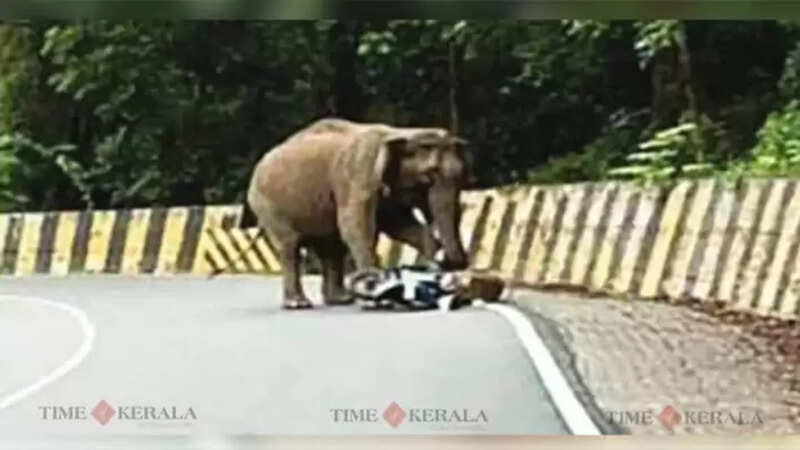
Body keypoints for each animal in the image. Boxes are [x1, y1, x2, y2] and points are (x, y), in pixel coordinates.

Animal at [246, 118, 471, 309]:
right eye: (429, 175)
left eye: (464, 176)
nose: (447, 263)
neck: (401, 132)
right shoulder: (358, 176)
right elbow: (357, 226)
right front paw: (377, 296)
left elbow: (398, 225)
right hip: (268, 205)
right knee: (290, 246)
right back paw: (298, 304)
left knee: (331, 248)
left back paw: (341, 300)